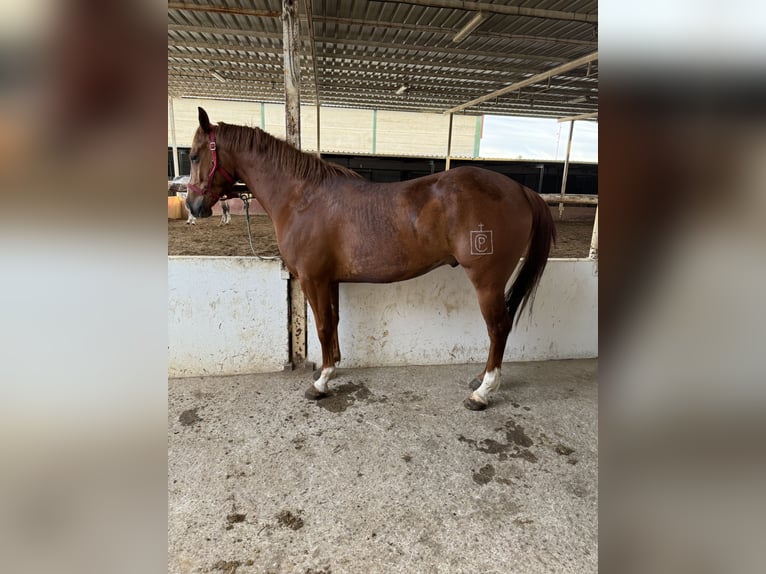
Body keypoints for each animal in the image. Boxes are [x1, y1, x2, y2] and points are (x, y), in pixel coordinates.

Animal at [188, 108, 560, 412]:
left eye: (192, 156)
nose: (193, 206)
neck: (302, 198)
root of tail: (520, 190)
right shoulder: (330, 280)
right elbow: (334, 322)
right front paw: (333, 367)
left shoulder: (312, 279)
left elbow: (322, 327)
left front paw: (321, 383)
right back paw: (480, 380)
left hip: (487, 282)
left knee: (498, 327)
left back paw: (482, 393)